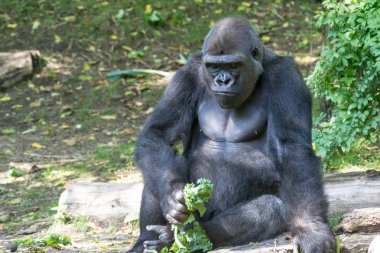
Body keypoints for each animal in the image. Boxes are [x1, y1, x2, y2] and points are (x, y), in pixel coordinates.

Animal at [128, 16, 336, 252]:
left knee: (269, 209)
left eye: (233, 65)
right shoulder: (186, 77)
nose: (222, 80)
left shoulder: (286, 76)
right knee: (157, 166)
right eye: (214, 66)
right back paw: (148, 241)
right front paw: (172, 194)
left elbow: (292, 150)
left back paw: (180, 237)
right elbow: (158, 135)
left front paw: (311, 228)